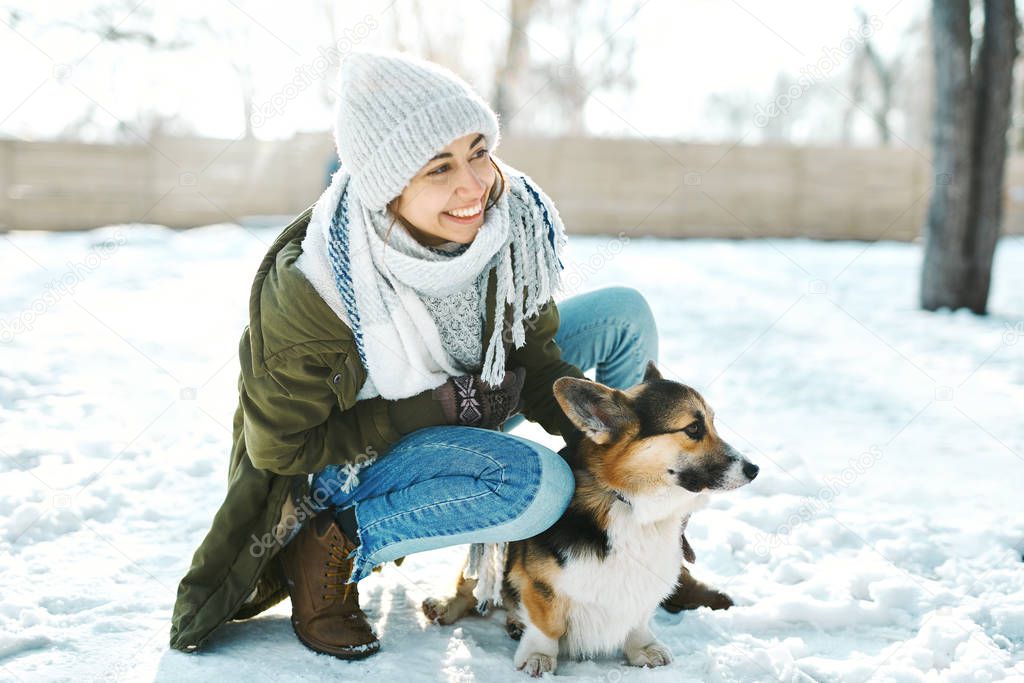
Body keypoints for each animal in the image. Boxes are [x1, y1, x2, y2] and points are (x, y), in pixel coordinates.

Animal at [419, 366, 757, 675]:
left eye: (712, 423)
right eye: (693, 428)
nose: (754, 469)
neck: (632, 505)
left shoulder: (647, 583)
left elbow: (639, 620)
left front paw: (644, 648)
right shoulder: (539, 580)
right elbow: (547, 622)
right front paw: (538, 657)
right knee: (470, 586)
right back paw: (444, 605)